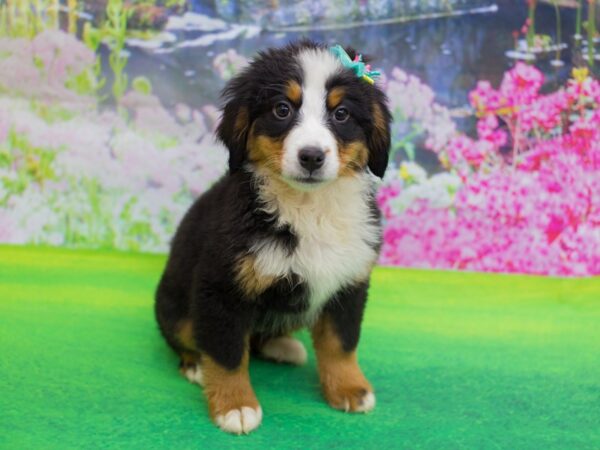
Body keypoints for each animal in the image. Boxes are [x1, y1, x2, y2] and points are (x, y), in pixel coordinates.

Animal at [152, 40, 392, 434]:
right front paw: (234, 406)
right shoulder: (222, 288)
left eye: (341, 113)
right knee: (186, 336)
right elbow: (227, 353)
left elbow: (341, 343)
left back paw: (285, 348)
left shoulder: (349, 282)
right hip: (175, 303)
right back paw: (196, 365)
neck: (309, 208)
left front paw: (349, 388)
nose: (311, 156)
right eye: (282, 109)